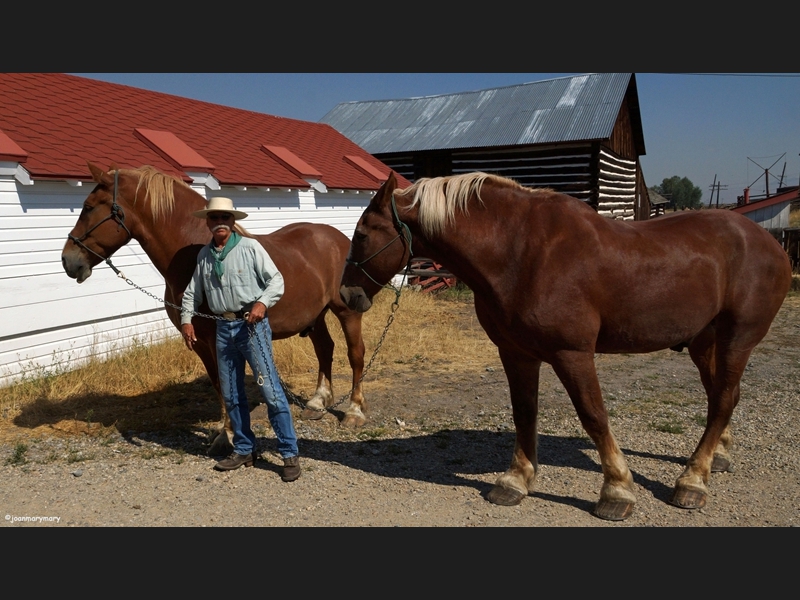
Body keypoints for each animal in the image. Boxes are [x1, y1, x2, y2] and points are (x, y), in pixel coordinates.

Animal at [64, 163, 370, 454]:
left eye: (88, 207)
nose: (68, 260)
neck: (194, 256)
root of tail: (337, 239)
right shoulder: (199, 342)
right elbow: (218, 385)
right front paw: (223, 432)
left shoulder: (216, 339)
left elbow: (226, 384)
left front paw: (228, 436)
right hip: (315, 315)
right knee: (325, 349)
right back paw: (318, 402)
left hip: (347, 311)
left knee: (355, 354)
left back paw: (354, 412)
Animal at [340, 170, 792, 520]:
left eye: (360, 235)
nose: (346, 295)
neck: (521, 251)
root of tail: (770, 243)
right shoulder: (516, 353)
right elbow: (524, 413)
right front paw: (516, 480)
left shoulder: (572, 354)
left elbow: (593, 416)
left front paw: (617, 490)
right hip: (704, 342)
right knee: (721, 396)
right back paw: (717, 459)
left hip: (737, 339)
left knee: (724, 399)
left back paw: (693, 481)